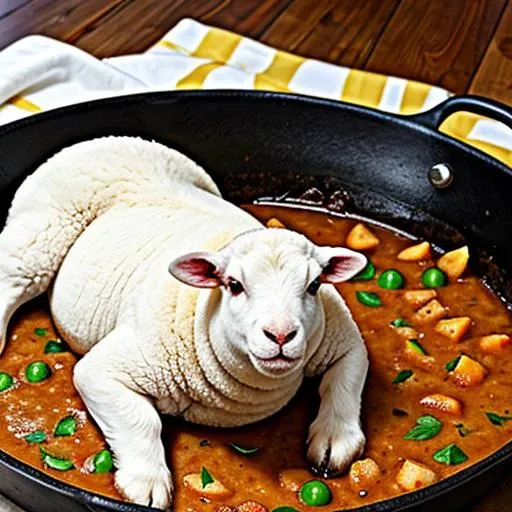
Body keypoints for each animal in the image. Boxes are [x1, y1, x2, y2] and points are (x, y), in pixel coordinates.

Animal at [0, 136, 370, 508]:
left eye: (314, 285)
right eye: (234, 285)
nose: (280, 335)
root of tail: (99, 142)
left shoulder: (342, 340)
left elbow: (346, 381)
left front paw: (334, 439)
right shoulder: (107, 368)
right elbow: (140, 419)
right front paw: (147, 482)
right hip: (41, 236)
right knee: (13, 278)